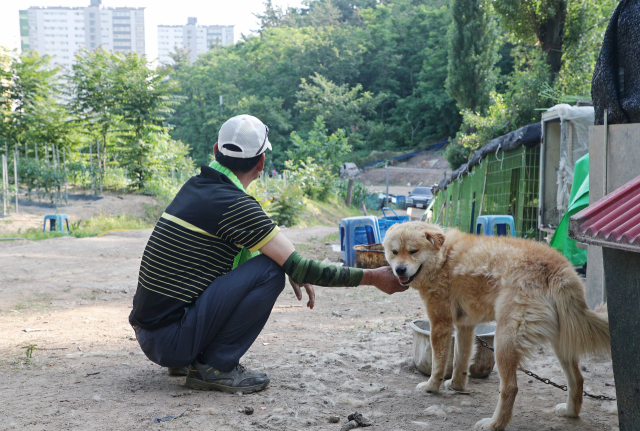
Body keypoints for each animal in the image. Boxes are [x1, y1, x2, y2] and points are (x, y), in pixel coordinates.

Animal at [382, 223, 608, 431]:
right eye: (395, 252)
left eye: (413, 251)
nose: (399, 269)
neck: (443, 258)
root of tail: (556, 268)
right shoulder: (465, 326)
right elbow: (460, 361)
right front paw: (456, 385)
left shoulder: (440, 324)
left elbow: (439, 364)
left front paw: (431, 387)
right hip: (561, 344)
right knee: (577, 379)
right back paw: (570, 412)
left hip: (504, 342)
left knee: (511, 388)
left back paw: (494, 424)